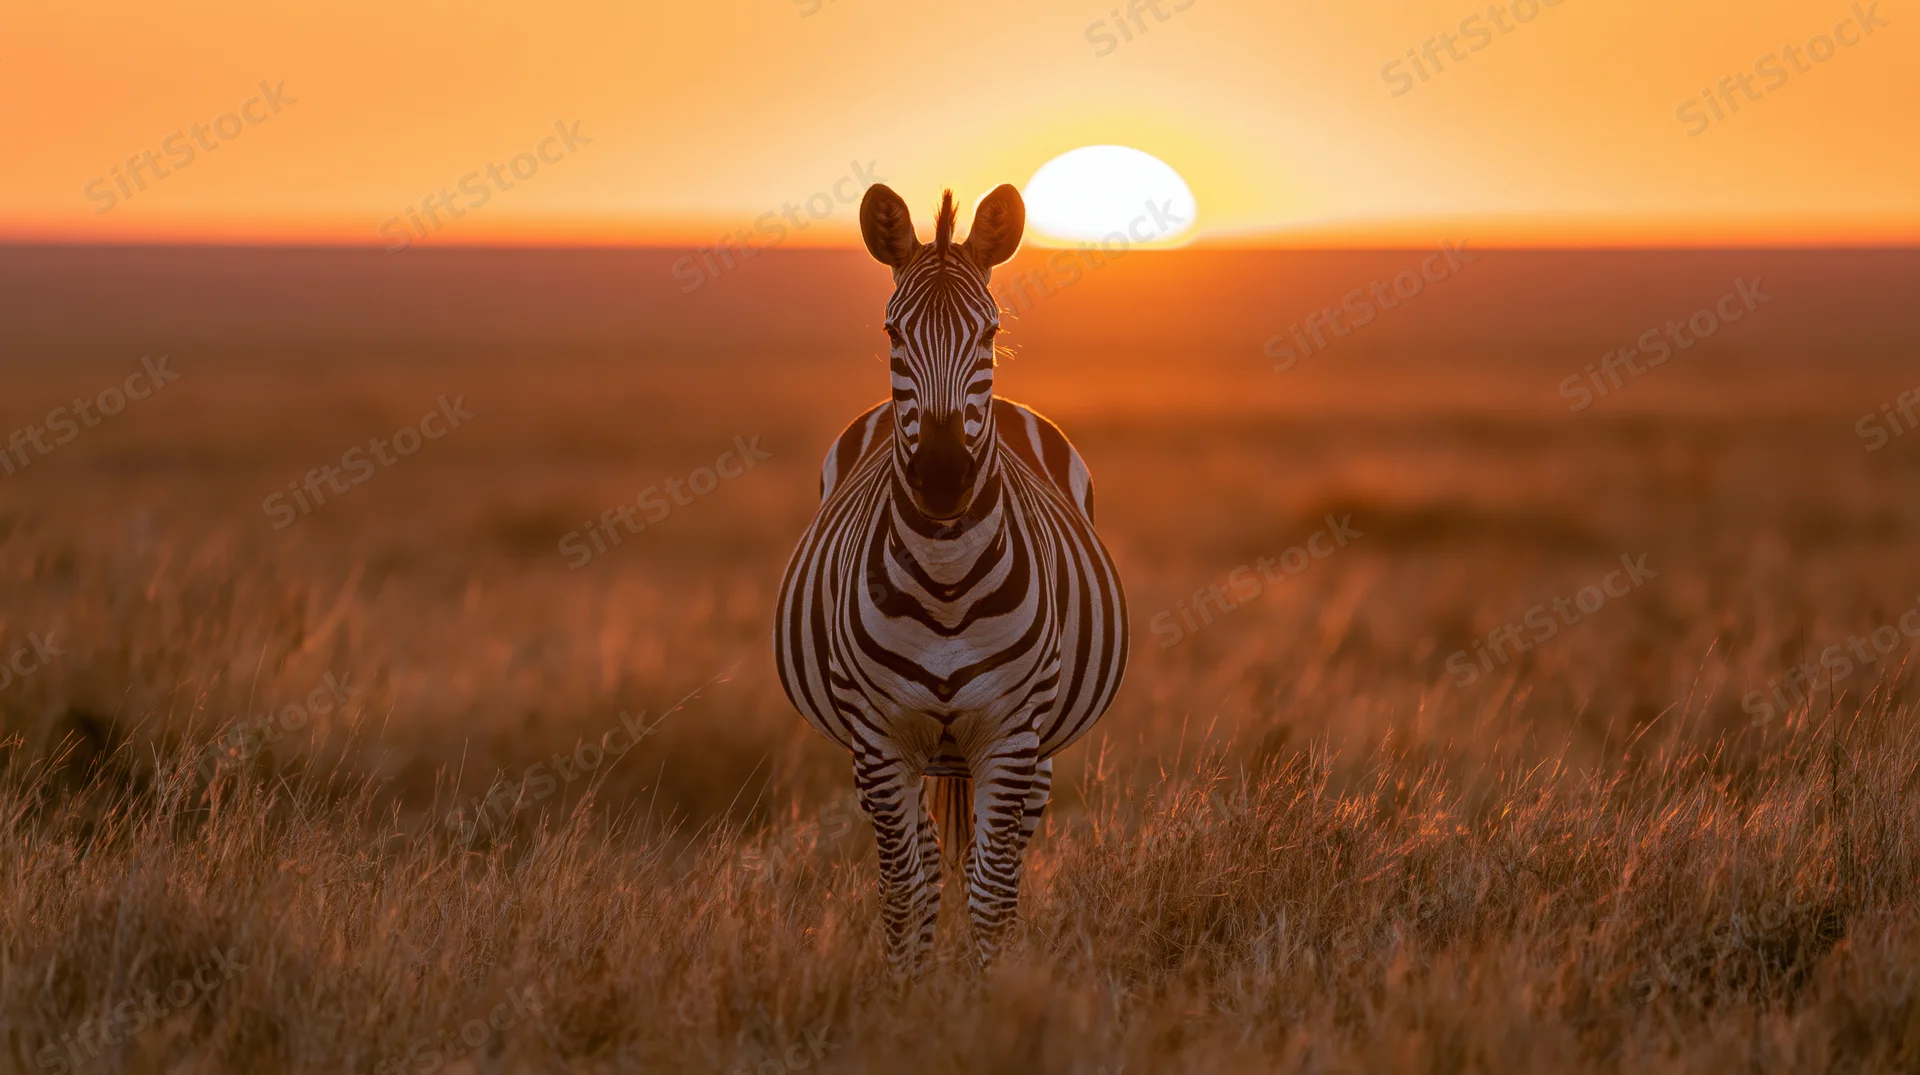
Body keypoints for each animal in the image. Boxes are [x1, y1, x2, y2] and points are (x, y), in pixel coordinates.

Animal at [773, 182, 1129, 974]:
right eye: (892, 332)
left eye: (990, 331)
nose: (940, 479)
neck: (945, 581)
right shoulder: (879, 739)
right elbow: (906, 888)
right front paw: (907, 993)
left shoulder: (1013, 734)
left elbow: (992, 891)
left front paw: (984, 993)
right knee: (929, 863)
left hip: (1036, 749)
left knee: (1000, 861)